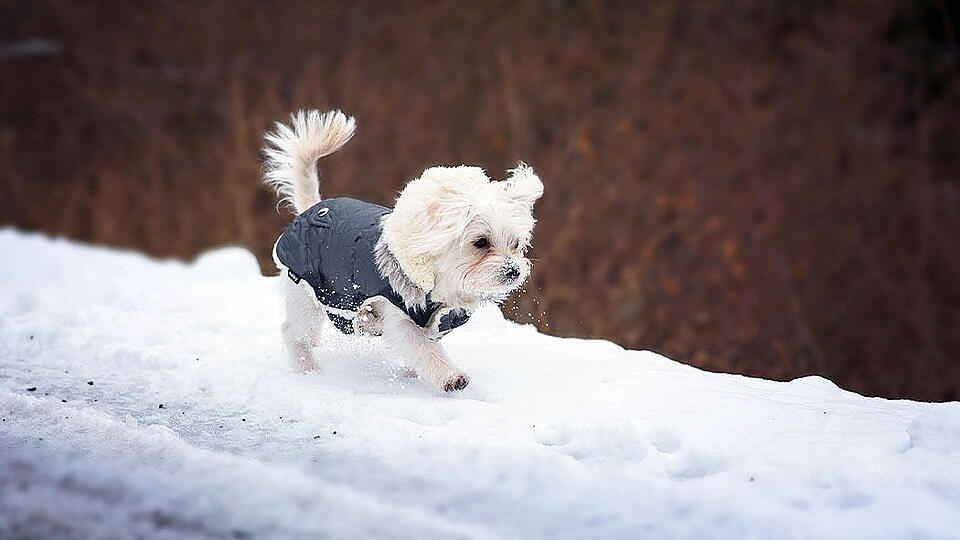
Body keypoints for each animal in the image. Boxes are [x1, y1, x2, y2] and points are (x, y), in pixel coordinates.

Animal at [262, 109, 544, 390]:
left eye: (516, 244)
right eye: (481, 242)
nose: (513, 271)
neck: (440, 284)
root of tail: (311, 209)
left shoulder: (435, 323)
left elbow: (421, 351)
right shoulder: (398, 317)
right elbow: (423, 349)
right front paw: (450, 377)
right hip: (305, 294)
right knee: (293, 333)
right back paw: (307, 368)